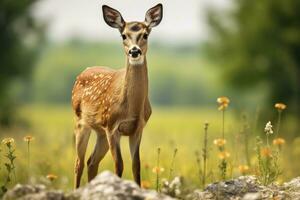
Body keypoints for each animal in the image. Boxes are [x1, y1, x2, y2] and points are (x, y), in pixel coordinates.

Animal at [71, 3, 163, 189]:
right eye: (123, 35)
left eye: (145, 34)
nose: (134, 51)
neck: (131, 108)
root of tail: (82, 73)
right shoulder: (112, 127)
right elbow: (119, 165)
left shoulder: (137, 128)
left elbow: (136, 165)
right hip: (81, 122)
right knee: (79, 163)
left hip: (100, 131)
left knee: (91, 162)